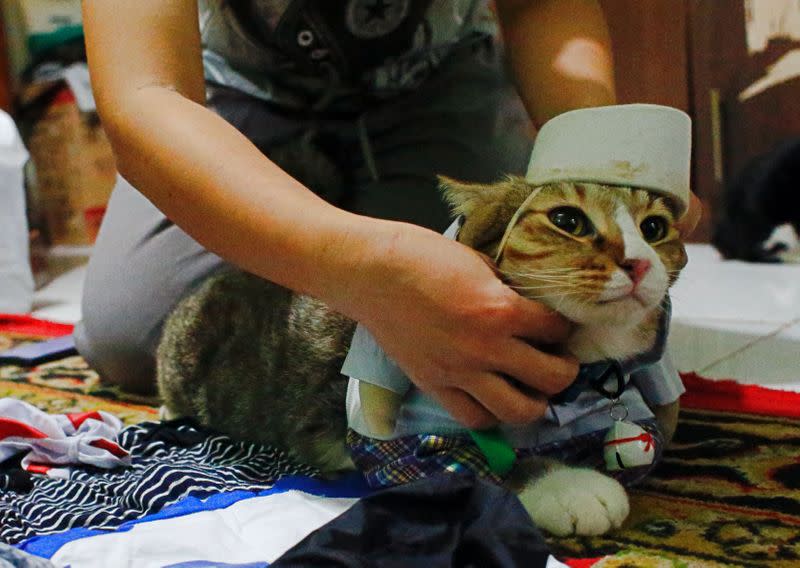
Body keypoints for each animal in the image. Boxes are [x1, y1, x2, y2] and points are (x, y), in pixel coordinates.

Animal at [158, 175, 688, 536]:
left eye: (654, 228)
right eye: (567, 221)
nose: (640, 264)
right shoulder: (390, 436)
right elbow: (470, 465)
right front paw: (569, 487)